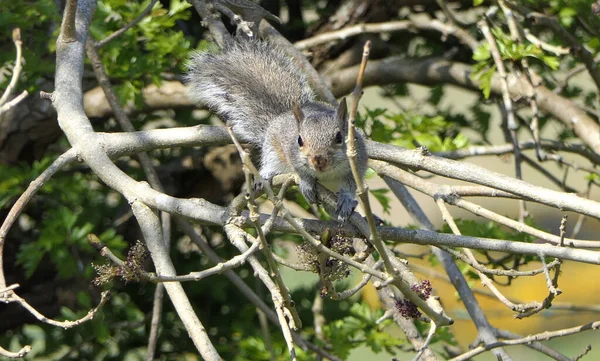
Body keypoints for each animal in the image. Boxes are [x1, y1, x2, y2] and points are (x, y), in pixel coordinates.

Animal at [185, 39, 368, 219]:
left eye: (339, 137)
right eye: (299, 140)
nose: (318, 160)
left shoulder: (357, 163)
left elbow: (351, 184)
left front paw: (346, 200)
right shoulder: (292, 156)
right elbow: (302, 173)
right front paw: (307, 184)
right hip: (272, 150)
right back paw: (266, 175)